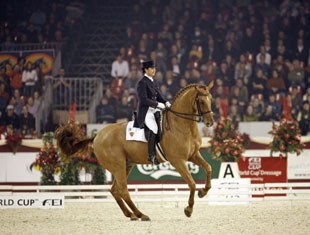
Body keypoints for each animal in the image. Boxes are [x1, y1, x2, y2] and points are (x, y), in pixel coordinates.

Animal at [55, 82, 214, 220]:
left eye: (211, 99)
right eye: (201, 101)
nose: (210, 122)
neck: (181, 125)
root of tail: (97, 136)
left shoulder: (193, 155)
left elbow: (208, 168)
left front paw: (203, 192)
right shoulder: (178, 161)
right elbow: (192, 183)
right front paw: (189, 209)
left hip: (126, 165)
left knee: (115, 190)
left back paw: (130, 214)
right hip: (118, 166)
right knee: (123, 190)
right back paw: (140, 214)